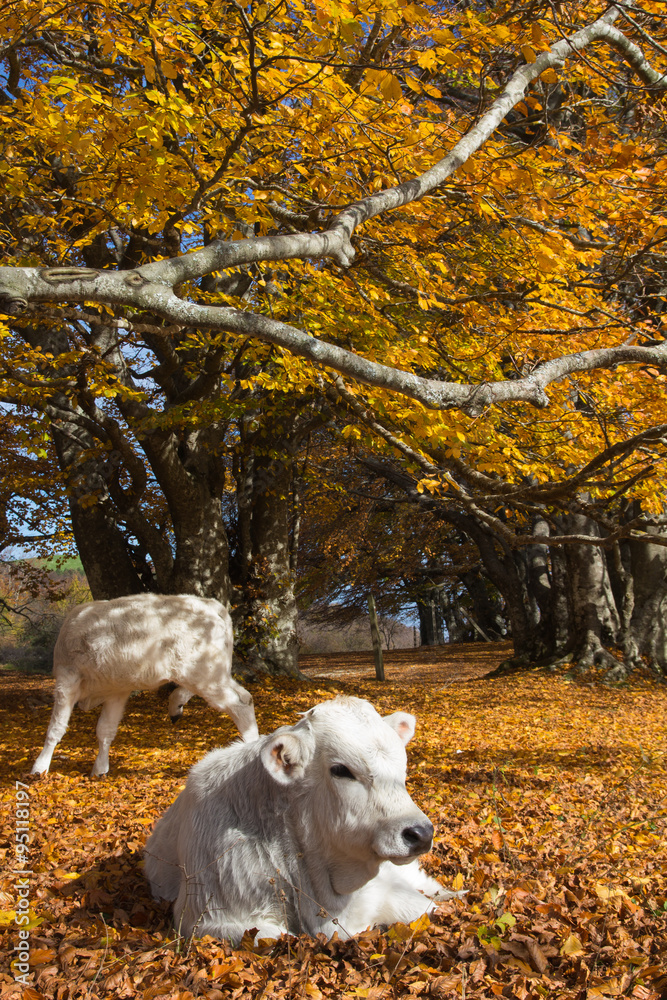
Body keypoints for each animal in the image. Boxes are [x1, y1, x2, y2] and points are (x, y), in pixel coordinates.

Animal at [32, 588, 260, 776]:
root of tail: (210, 604)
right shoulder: (117, 690)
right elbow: (105, 729)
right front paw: (100, 768)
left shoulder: (67, 676)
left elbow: (56, 727)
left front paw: (39, 767)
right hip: (211, 672)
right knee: (244, 696)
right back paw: (176, 706)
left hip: (204, 674)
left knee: (239, 703)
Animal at [143, 692, 452, 940]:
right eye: (340, 770)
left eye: (402, 764)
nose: (420, 834)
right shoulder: (203, 916)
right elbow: (274, 937)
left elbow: (423, 906)